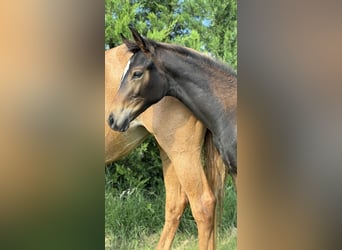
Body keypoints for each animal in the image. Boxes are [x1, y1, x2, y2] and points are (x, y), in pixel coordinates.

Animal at [105, 44, 226, 249]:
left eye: (137, 74)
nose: (112, 119)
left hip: (183, 154)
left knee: (203, 204)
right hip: (169, 152)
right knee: (176, 203)